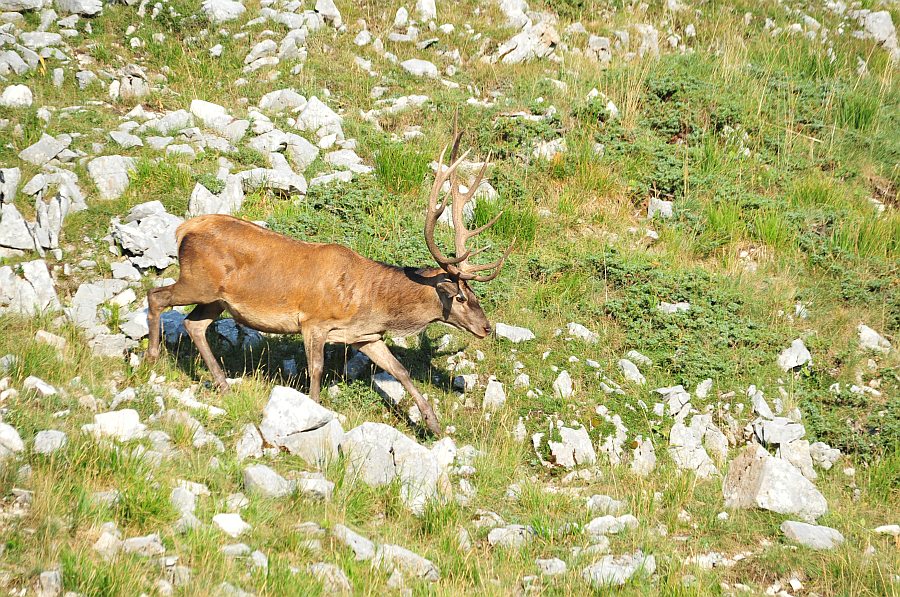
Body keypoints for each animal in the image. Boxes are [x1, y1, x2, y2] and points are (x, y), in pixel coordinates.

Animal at [148, 130, 512, 436]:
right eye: (461, 298)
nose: (486, 328)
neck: (370, 301)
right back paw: (152, 356)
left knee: (194, 324)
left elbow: (400, 370)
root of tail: (183, 229)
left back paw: (222, 383)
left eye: (475, 296)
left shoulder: (366, 336)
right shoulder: (313, 321)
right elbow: (316, 370)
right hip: (197, 281)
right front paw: (314, 413)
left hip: (217, 299)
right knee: (156, 295)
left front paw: (432, 423)